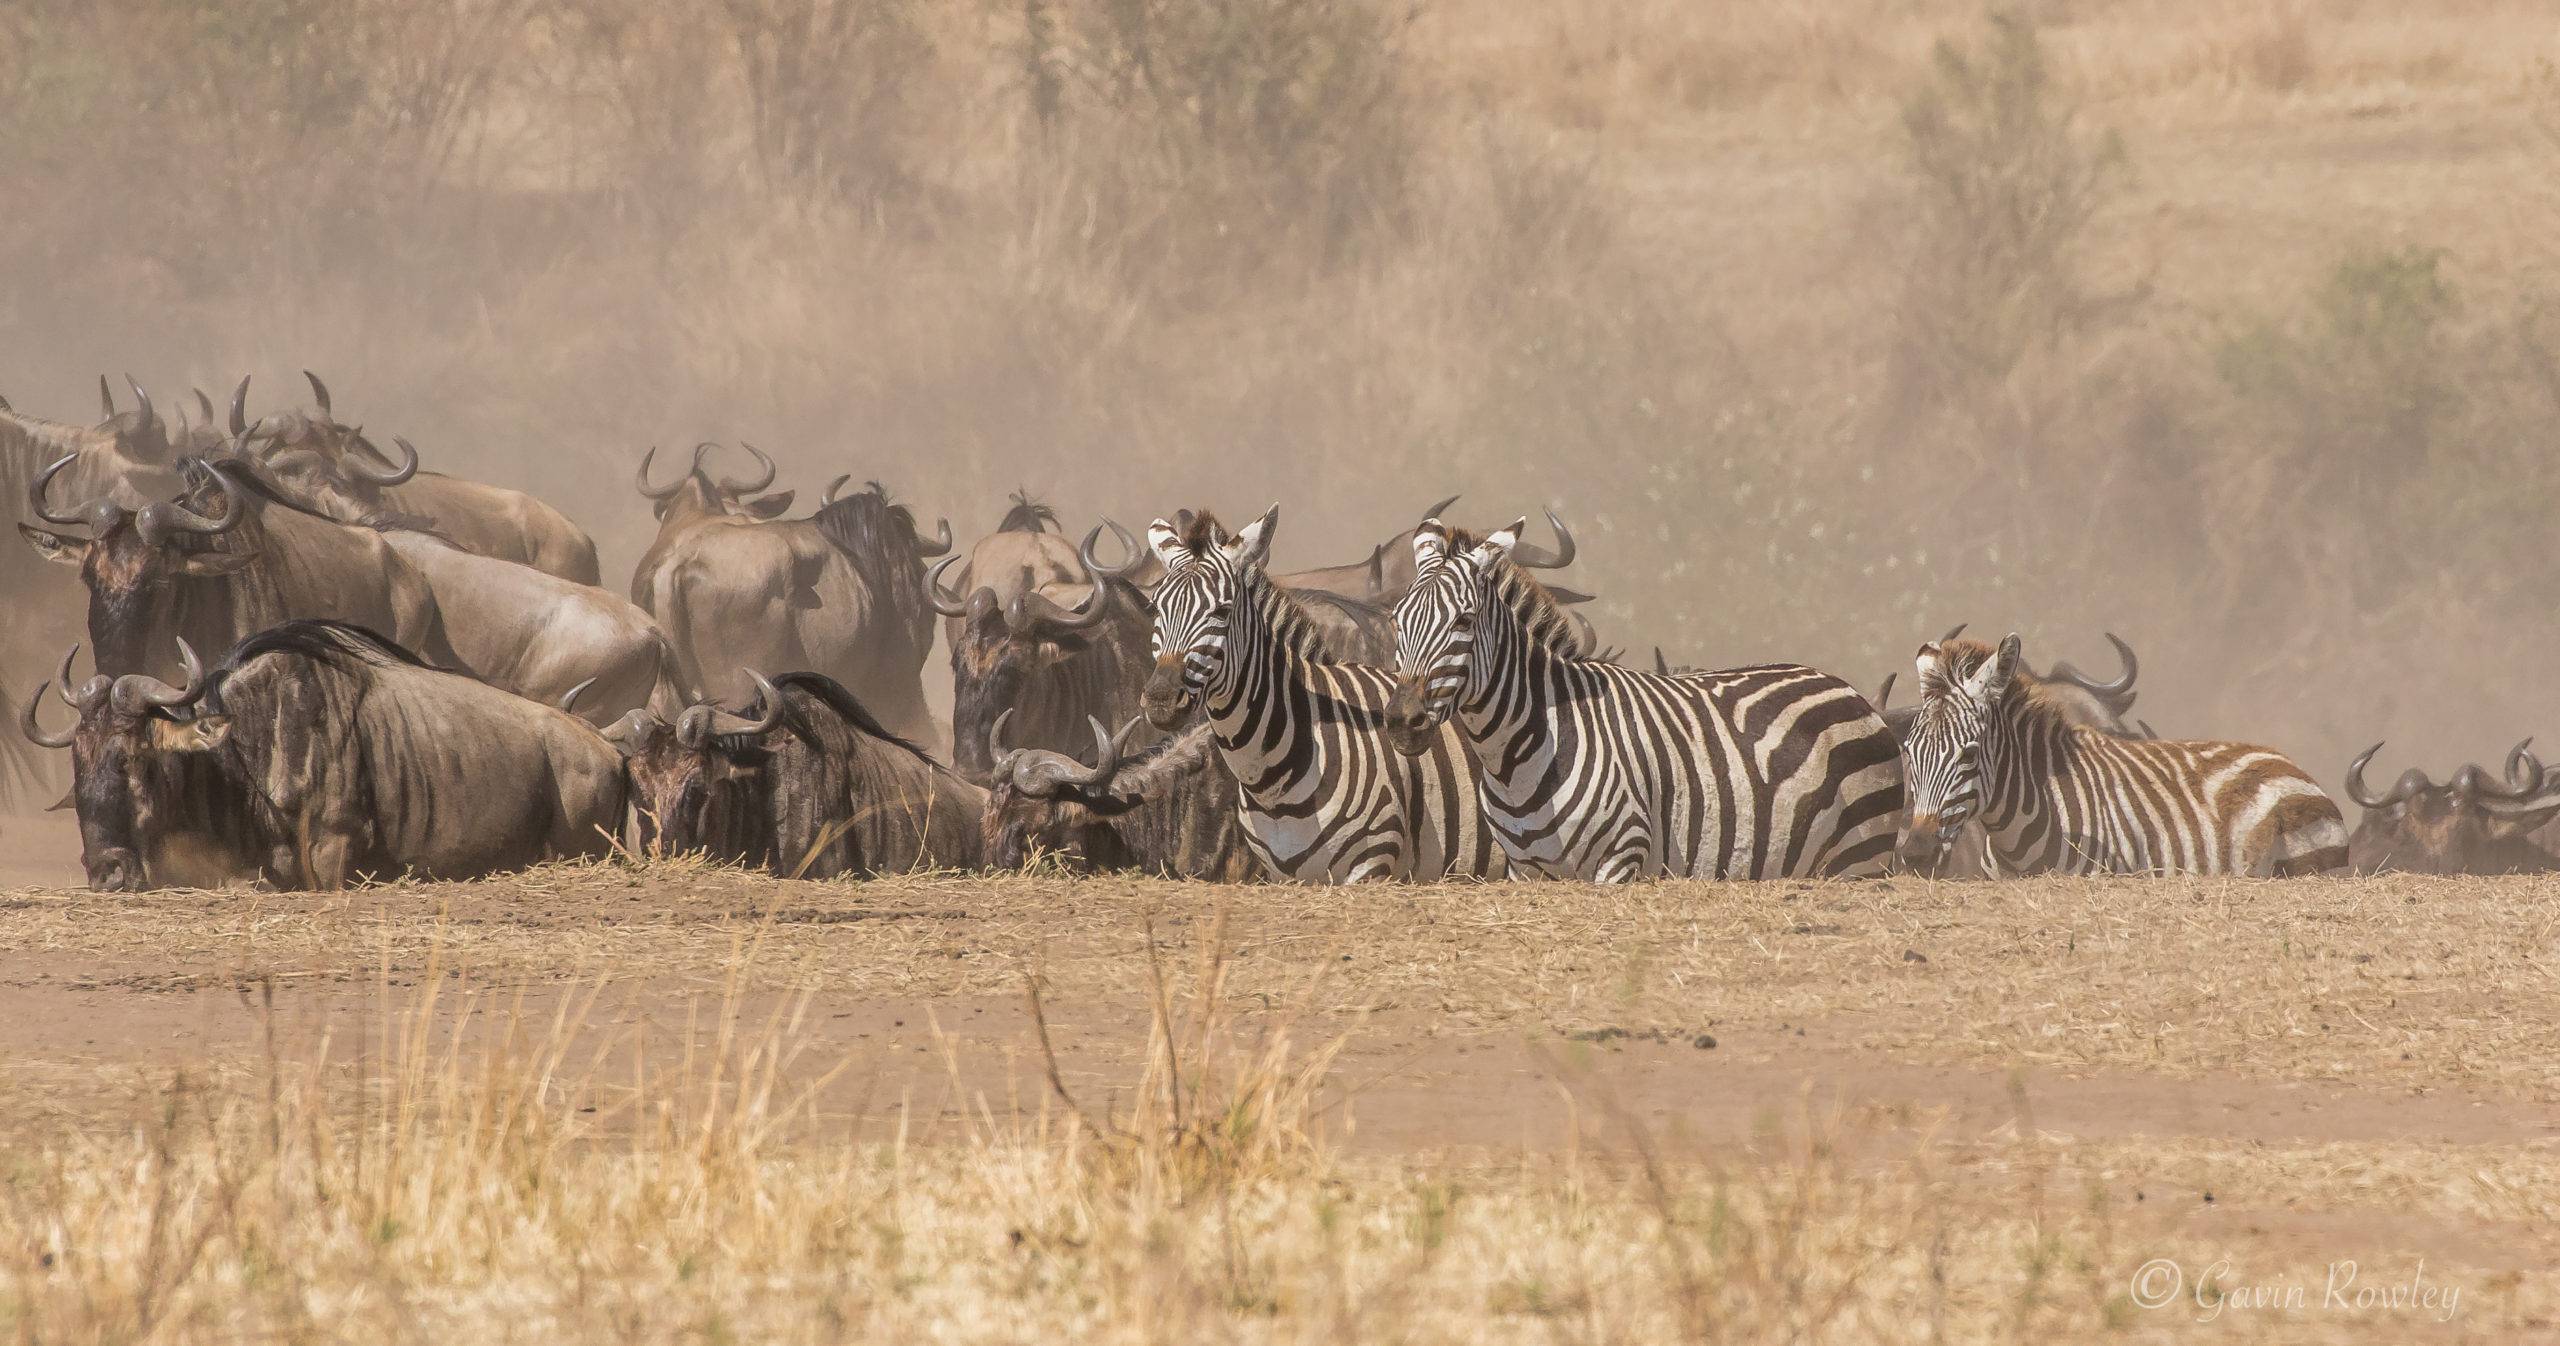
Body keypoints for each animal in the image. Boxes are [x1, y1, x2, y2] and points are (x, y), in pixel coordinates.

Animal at [1136, 506, 1495, 885]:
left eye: (1221, 611)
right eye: (1155, 609)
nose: (1161, 699)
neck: (1270, 782)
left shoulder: (1371, 864)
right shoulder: (1281, 873)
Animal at [1382, 516, 1904, 885]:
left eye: (1465, 621)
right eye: (1396, 620)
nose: (1403, 721)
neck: (1514, 759)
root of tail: (1841, 684)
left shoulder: (1622, 857)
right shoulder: (1526, 870)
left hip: (1859, 860)